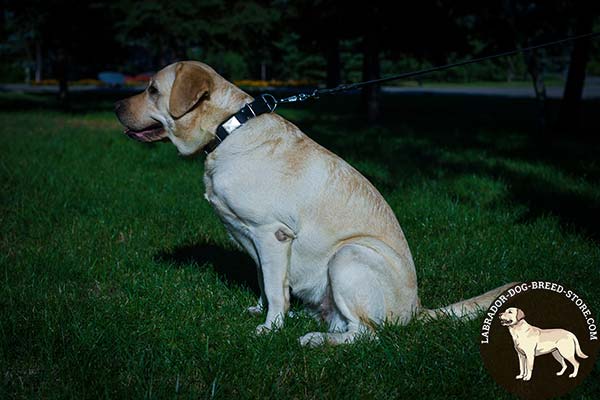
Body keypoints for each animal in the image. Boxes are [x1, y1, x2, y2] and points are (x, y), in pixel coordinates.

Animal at [116, 61, 516, 346]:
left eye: (152, 89)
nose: (117, 104)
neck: (227, 129)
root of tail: (416, 311)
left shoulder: (271, 234)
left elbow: (274, 289)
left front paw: (269, 329)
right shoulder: (258, 242)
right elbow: (267, 283)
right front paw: (264, 313)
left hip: (349, 256)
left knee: (367, 334)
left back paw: (315, 339)